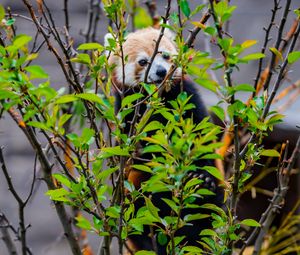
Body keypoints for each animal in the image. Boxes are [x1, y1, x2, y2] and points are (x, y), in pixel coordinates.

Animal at [104, 27, 224, 255]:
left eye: (166, 56)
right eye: (143, 61)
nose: (161, 71)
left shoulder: (187, 97)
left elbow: (199, 138)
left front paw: (200, 173)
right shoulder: (127, 110)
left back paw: (203, 184)